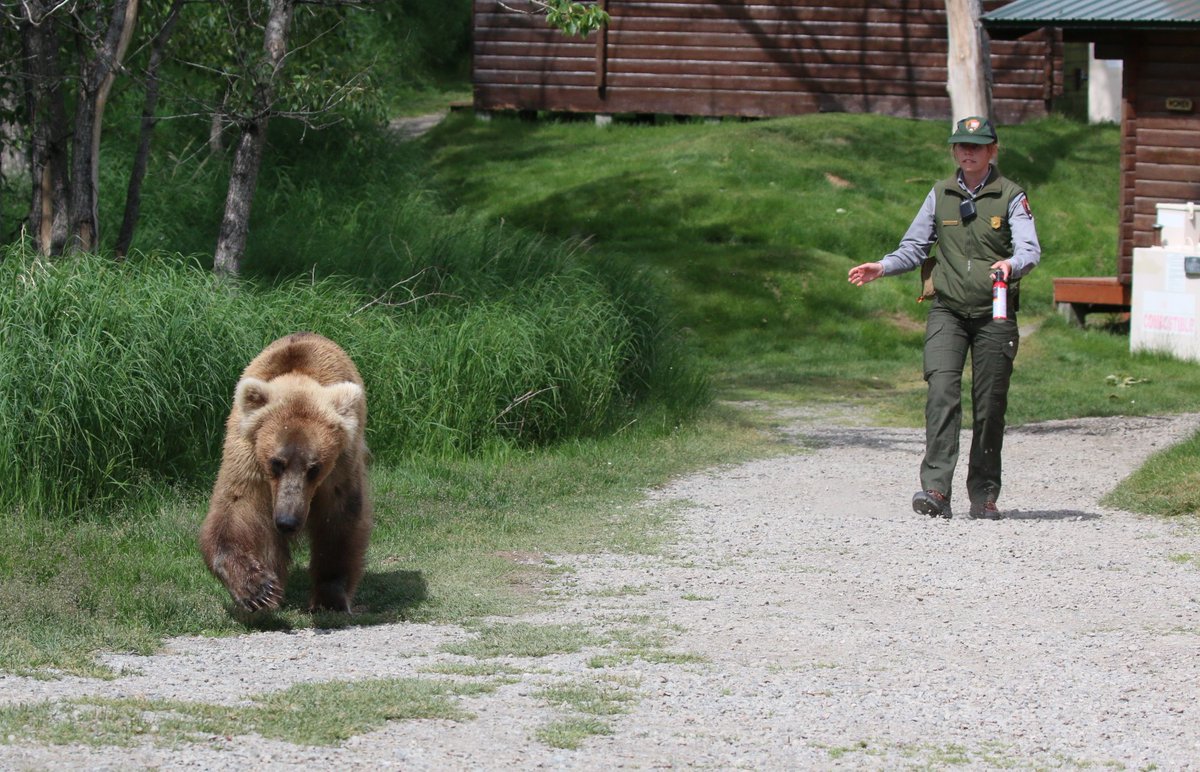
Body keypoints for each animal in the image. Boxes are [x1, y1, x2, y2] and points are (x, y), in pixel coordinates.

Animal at [199, 333, 372, 614]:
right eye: (276, 463)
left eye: (315, 468)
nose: (287, 522)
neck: (299, 378)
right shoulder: (248, 456)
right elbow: (236, 510)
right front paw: (258, 589)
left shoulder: (341, 467)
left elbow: (340, 520)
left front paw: (330, 597)